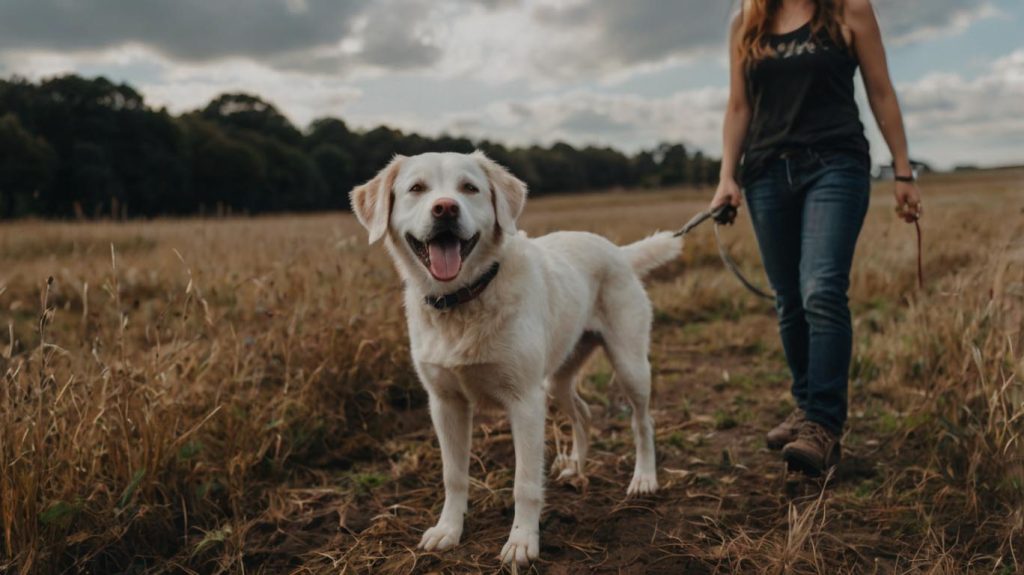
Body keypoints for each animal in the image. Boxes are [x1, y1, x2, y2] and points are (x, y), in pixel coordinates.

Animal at [350, 148, 679, 564]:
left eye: (469, 188)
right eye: (417, 188)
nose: (445, 209)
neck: (463, 300)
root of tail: (618, 251)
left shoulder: (525, 401)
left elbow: (525, 482)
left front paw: (523, 542)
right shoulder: (445, 403)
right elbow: (453, 475)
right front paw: (448, 530)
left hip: (629, 364)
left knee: (642, 422)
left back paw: (644, 478)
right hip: (557, 379)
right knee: (584, 412)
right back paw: (576, 468)